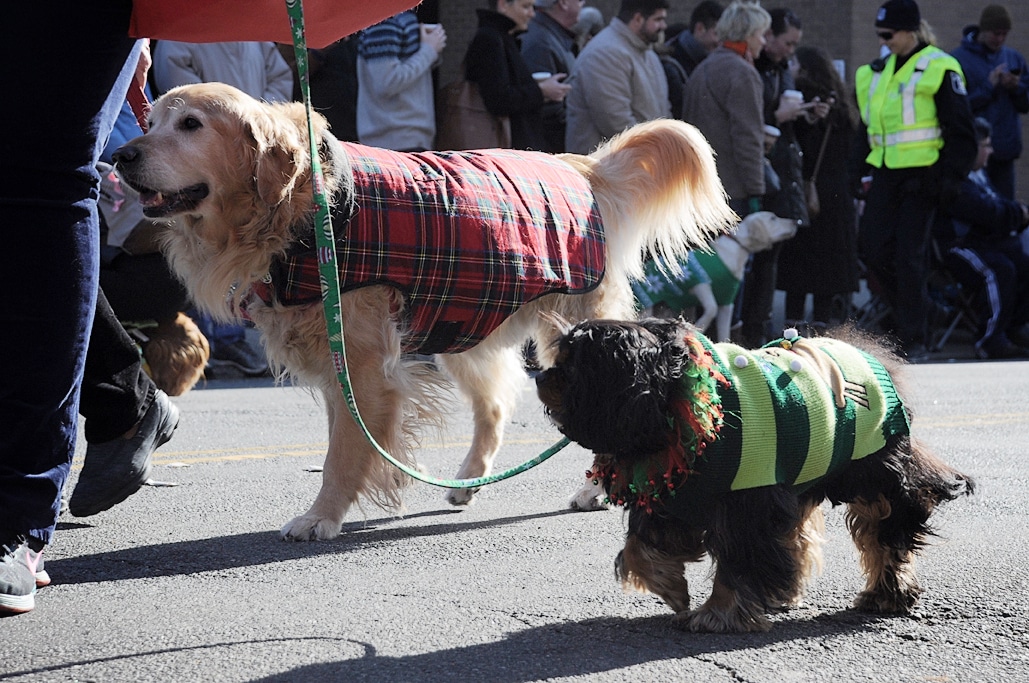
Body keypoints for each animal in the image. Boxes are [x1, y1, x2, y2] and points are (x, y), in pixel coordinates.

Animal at [539, 316, 971, 633]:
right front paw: (671, 587)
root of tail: (868, 355)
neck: (685, 402)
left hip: (874, 474)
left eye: (573, 366)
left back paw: (888, 592)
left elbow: (738, 561)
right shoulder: (675, 493)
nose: (540, 375)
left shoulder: (746, 501)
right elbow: (639, 547)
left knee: (887, 530)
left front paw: (718, 613)